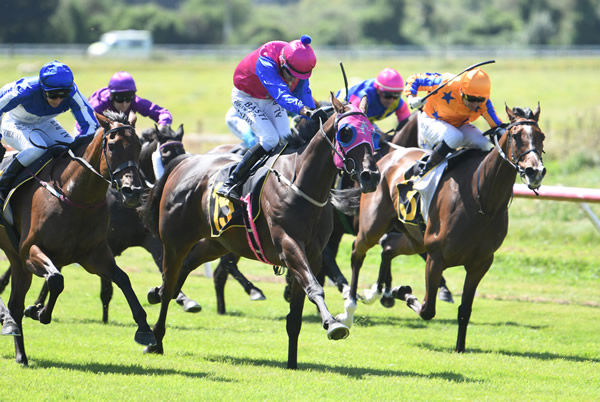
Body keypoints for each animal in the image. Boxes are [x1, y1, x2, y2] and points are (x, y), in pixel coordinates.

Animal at [1, 110, 157, 364]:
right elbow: (56, 280)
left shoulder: (93, 255)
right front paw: (40, 312)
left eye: (138, 145)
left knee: (15, 304)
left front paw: (144, 329)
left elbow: (123, 279)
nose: (132, 191)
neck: (75, 195)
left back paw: (21, 354)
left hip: (15, 259)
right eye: (112, 146)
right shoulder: (29, 250)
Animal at [139, 93, 380, 368]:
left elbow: (297, 311)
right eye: (347, 132)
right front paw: (333, 324)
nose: (371, 175)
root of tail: (185, 162)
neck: (300, 185)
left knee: (184, 269)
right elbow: (315, 287)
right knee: (170, 283)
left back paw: (155, 294)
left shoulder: (314, 253)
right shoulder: (288, 245)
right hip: (175, 240)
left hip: (216, 242)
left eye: (372, 133)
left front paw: (292, 361)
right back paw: (156, 339)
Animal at [338, 106, 548, 352]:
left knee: (388, 247)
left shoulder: (480, 263)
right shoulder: (436, 257)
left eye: (541, 136)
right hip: (373, 226)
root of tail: (385, 159)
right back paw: (350, 307)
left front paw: (460, 348)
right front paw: (404, 292)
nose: (535, 171)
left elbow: (465, 310)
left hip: (414, 239)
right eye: (516, 136)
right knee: (357, 252)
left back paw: (380, 293)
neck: (482, 199)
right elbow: (428, 309)